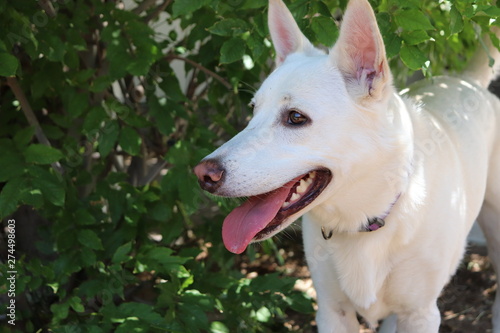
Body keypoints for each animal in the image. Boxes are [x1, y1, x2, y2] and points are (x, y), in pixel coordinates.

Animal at [193, 0, 500, 330]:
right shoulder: (332, 310)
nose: (203, 174)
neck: (365, 221)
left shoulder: (420, 314)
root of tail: (466, 79)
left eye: (296, 117)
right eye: (253, 110)